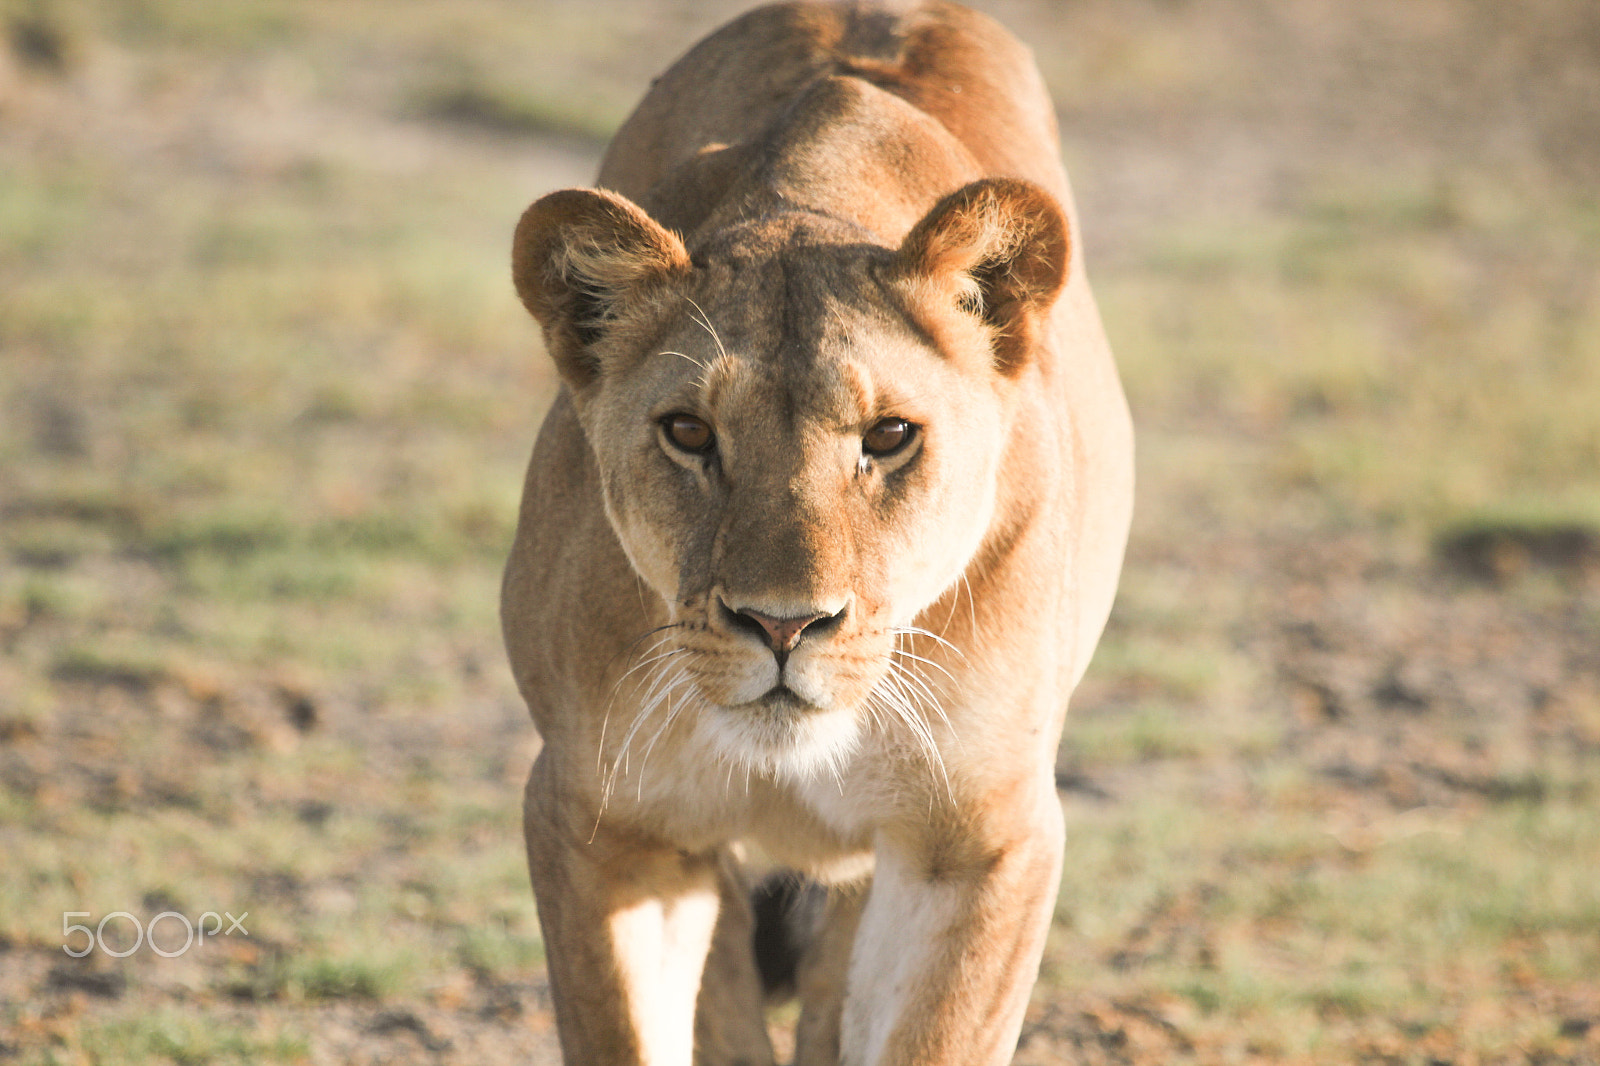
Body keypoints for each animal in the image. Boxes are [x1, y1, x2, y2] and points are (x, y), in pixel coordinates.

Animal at [501, 2, 1134, 1063]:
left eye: (889, 436)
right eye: (688, 433)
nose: (783, 626)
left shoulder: (979, 842)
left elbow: (930, 1037)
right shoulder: (602, 824)